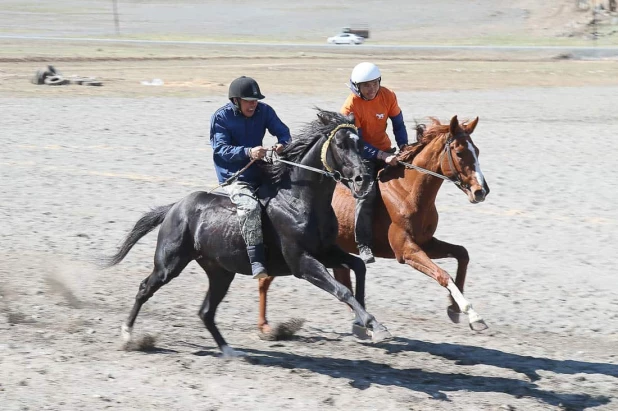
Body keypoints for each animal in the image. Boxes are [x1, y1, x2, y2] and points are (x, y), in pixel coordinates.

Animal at [105, 110, 390, 358]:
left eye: (359, 143)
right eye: (340, 144)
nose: (363, 179)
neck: (298, 200)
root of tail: (175, 207)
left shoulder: (327, 251)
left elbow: (358, 267)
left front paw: (364, 326)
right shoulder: (302, 263)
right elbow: (342, 290)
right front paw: (374, 325)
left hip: (220, 272)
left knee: (206, 312)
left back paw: (229, 351)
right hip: (169, 264)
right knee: (145, 288)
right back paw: (128, 335)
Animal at [258, 115, 488, 338]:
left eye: (477, 151)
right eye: (459, 153)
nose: (481, 191)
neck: (407, 192)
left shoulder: (426, 242)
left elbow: (462, 254)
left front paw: (454, 309)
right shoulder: (405, 250)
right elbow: (443, 274)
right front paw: (473, 315)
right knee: (265, 280)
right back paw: (266, 327)